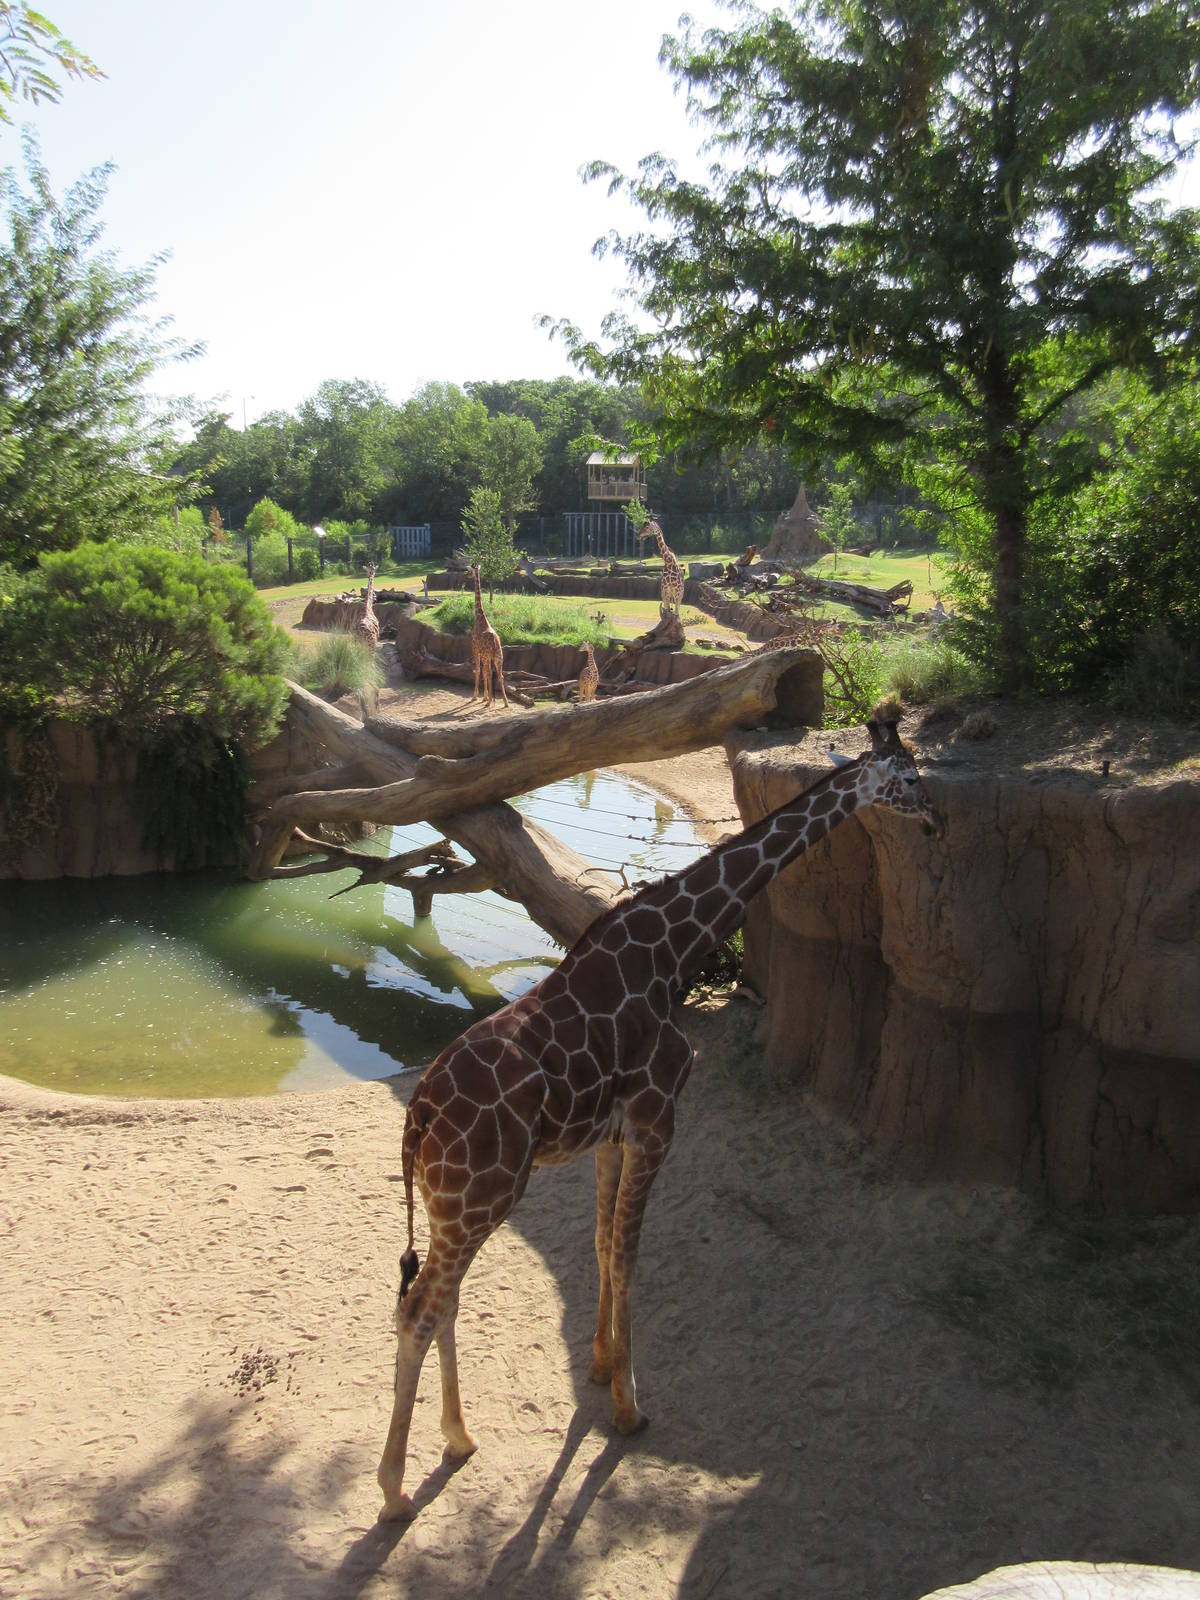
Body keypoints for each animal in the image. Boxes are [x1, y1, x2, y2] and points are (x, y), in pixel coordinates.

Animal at [376, 715, 943, 1519]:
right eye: (912, 778)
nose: (936, 823)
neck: (675, 947)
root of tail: (417, 1115)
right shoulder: (658, 1119)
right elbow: (631, 1254)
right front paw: (629, 1408)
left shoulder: (611, 1136)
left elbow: (601, 1243)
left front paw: (600, 1367)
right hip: (481, 1197)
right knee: (420, 1310)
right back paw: (394, 1490)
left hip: (447, 1202)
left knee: (443, 1303)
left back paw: (459, 1439)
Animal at [468, 563, 509, 709]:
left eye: (468, 571)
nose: (465, 576)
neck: (479, 616)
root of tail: (495, 643)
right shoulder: (485, 654)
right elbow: (484, 673)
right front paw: (485, 697)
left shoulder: (475, 649)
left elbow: (478, 670)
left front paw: (476, 696)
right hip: (498, 656)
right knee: (500, 675)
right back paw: (505, 702)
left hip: (487, 655)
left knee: (490, 673)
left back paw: (490, 701)